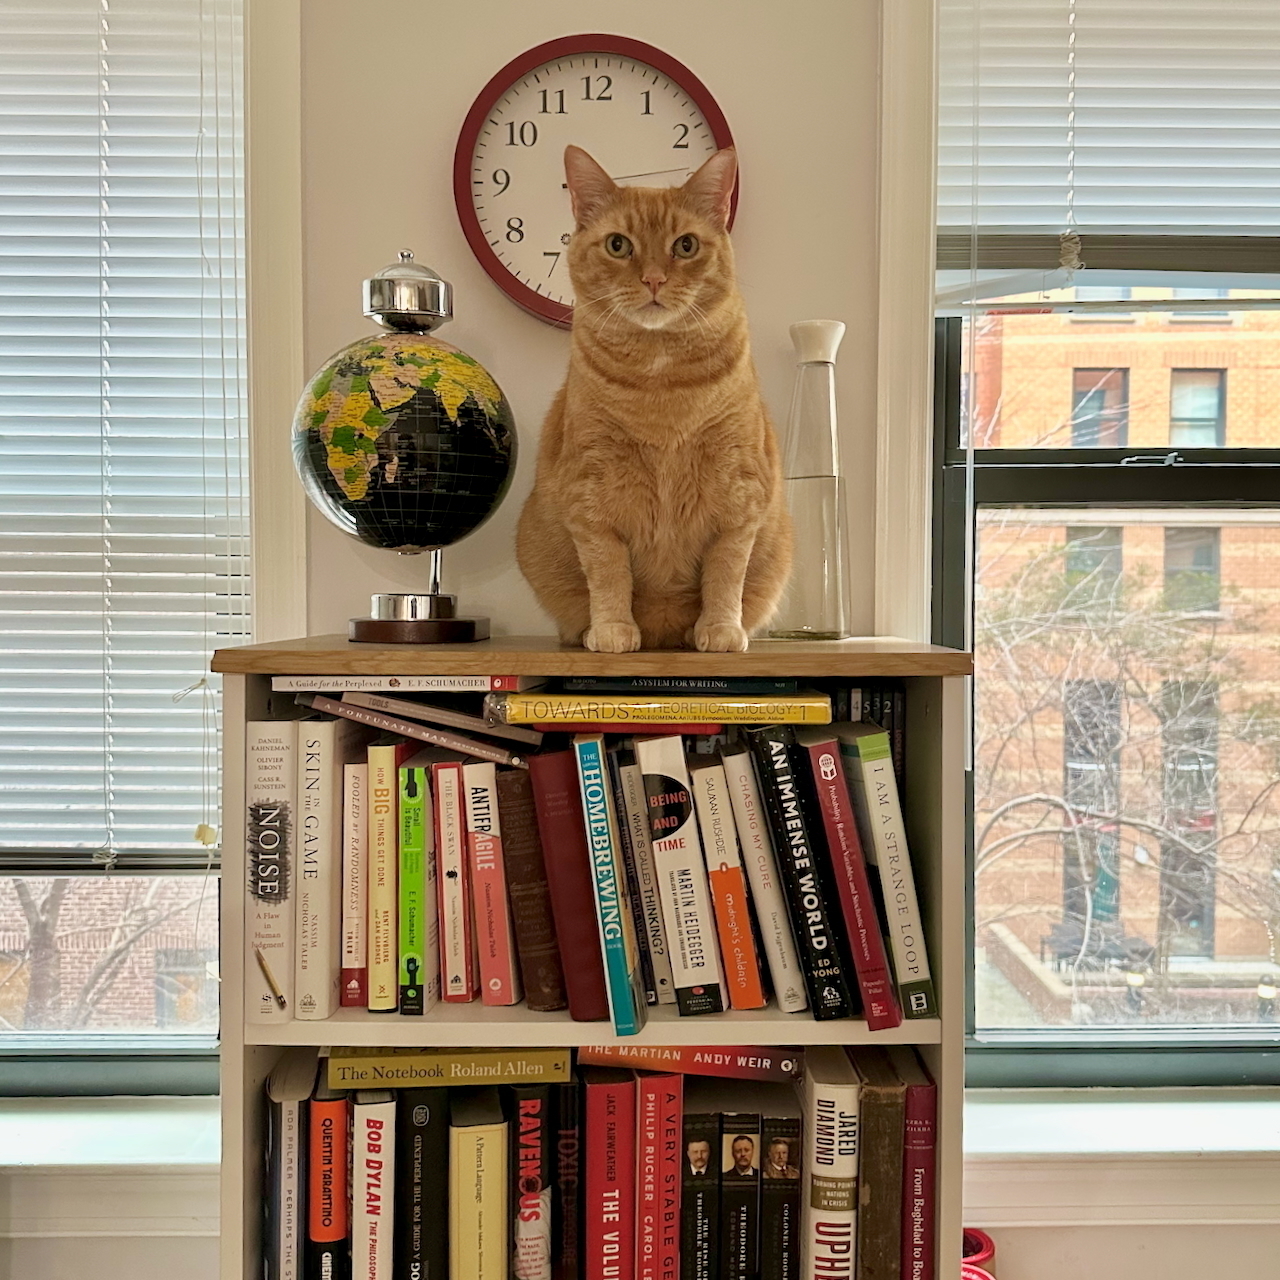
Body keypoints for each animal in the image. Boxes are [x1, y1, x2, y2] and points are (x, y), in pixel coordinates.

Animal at [514, 145, 783, 655]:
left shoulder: (739, 495)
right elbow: (608, 573)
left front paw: (720, 630)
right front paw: (612, 631)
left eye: (686, 246)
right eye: (618, 245)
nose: (654, 280)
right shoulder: (591, 495)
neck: (661, 387)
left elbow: (725, 573)